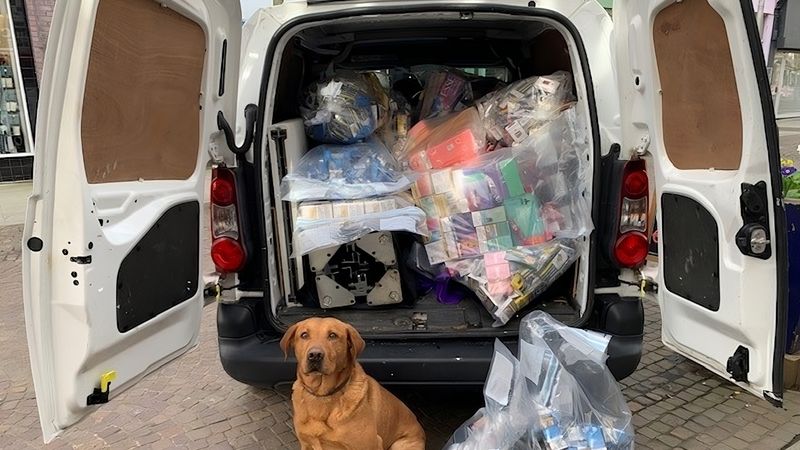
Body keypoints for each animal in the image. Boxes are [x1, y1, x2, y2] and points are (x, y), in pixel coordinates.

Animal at [282, 316, 428, 450]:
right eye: (304, 335)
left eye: (332, 335)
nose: (315, 355)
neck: (321, 395)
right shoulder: (306, 444)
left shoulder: (371, 444)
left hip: (399, 445)